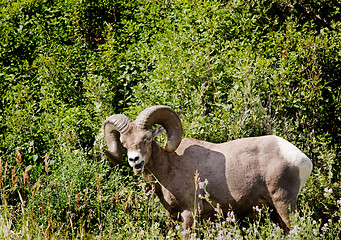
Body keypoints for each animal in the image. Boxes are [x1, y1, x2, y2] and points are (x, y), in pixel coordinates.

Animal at [101, 105, 310, 232]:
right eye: (124, 143)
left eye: (146, 139)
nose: (134, 160)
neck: (169, 168)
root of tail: (302, 159)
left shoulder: (189, 213)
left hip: (284, 203)